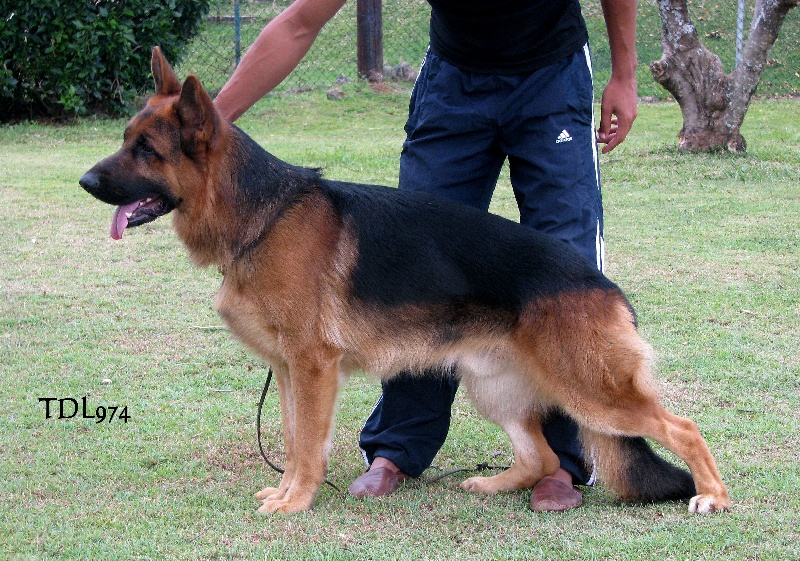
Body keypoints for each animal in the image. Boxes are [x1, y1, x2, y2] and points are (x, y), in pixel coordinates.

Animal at [78, 48, 728, 512]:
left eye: (146, 150)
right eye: (126, 141)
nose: (84, 182)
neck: (265, 213)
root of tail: (605, 286)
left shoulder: (312, 367)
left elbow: (306, 446)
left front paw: (296, 503)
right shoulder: (289, 370)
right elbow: (290, 439)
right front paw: (285, 493)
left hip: (589, 391)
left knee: (683, 427)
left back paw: (712, 496)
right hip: (494, 388)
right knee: (542, 459)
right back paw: (495, 485)